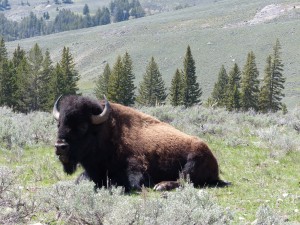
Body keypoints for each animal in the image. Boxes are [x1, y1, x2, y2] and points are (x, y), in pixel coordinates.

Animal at [52, 95, 229, 192]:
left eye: (83, 126)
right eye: (59, 124)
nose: (60, 147)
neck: (107, 132)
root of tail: (212, 157)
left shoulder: (137, 169)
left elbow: (129, 183)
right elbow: (81, 179)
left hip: (192, 162)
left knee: (185, 180)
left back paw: (161, 186)